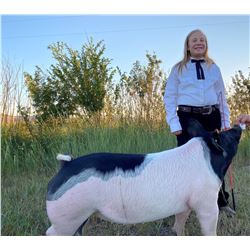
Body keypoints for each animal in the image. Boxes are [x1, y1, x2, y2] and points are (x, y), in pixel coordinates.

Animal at [46, 120, 241, 235]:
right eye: (225, 136)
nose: (238, 126)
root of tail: (66, 164)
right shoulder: (206, 202)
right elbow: (209, 228)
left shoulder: (185, 203)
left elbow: (179, 223)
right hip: (67, 217)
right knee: (50, 233)